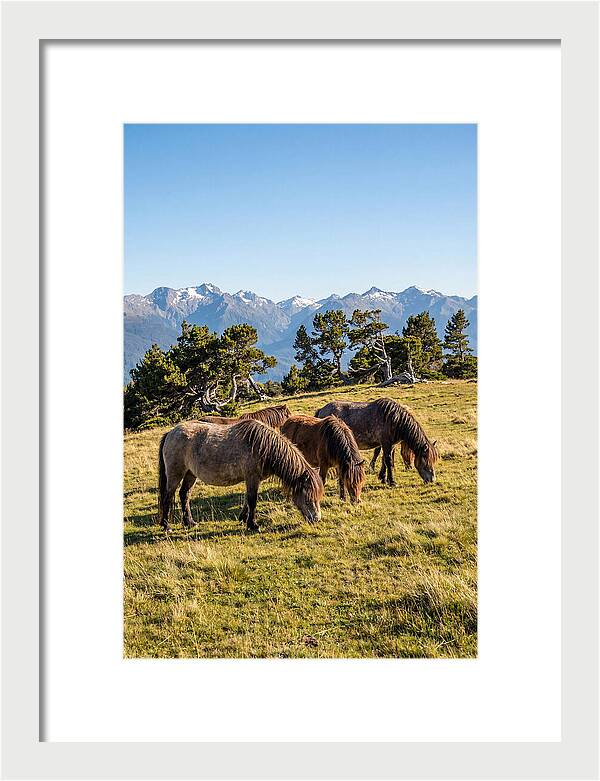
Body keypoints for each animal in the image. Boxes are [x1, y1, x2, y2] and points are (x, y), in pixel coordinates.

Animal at [158, 418, 323, 532]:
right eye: (308, 497)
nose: (316, 519)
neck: (263, 447)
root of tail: (170, 433)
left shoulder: (252, 480)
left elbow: (246, 500)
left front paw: (244, 518)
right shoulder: (252, 478)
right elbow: (252, 500)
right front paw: (253, 525)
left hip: (190, 474)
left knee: (184, 495)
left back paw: (189, 522)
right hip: (175, 474)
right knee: (168, 496)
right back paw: (166, 526)